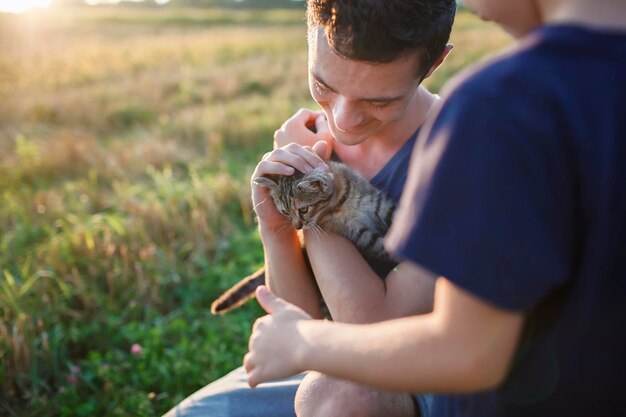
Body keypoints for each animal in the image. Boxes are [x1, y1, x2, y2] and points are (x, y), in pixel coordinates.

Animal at [210, 161, 394, 314]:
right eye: (285, 212)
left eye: (303, 209)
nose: (298, 226)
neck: (341, 203)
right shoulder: (357, 232)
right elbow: (380, 245)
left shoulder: (379, 205)